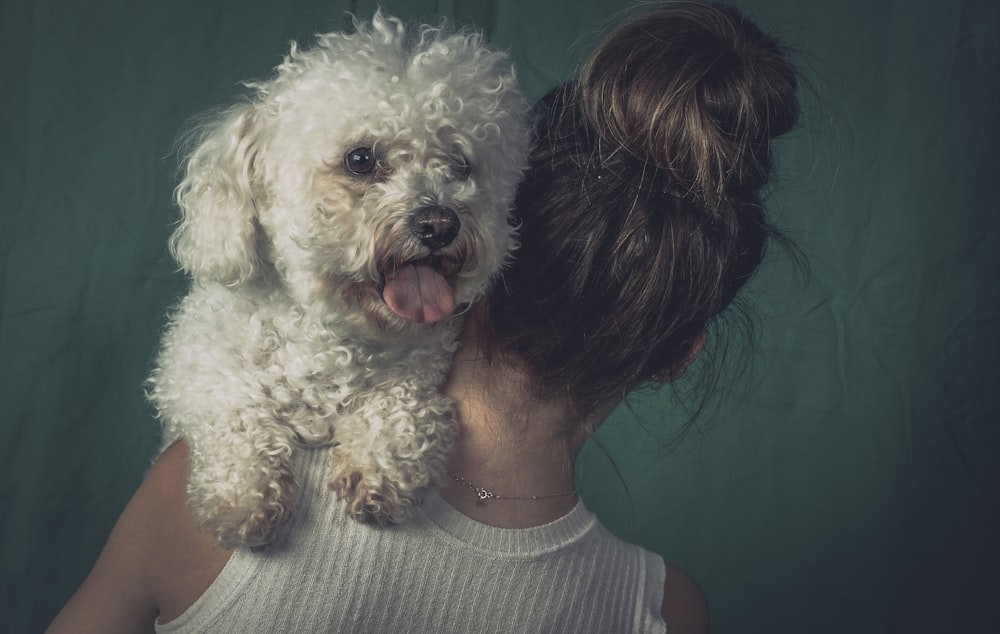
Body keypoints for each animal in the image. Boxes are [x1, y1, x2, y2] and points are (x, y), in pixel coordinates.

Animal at [146, 13, 532, 548]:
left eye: (461, 165)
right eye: (361, 159)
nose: (440, 224)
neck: (329, 336)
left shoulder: (422, 369)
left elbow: (404, 404)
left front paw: (380, 469)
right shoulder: (190, 370)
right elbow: (231, 407)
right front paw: (243, 495)